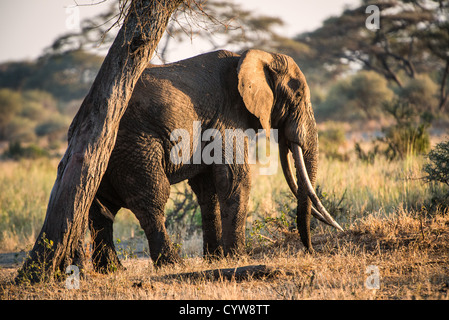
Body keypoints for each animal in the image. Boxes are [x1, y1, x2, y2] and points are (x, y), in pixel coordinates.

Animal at [87, 48, 342, 272]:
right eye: (298, 96)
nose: (310, 251)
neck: (254, 56)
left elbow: (207, 188)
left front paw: (215, 260)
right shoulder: (227, 116)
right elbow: (234, 178)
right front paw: (237, 258)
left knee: (100, 209)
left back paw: (111, 270)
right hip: (134, 144)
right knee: (152, 196)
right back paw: (172, 265)